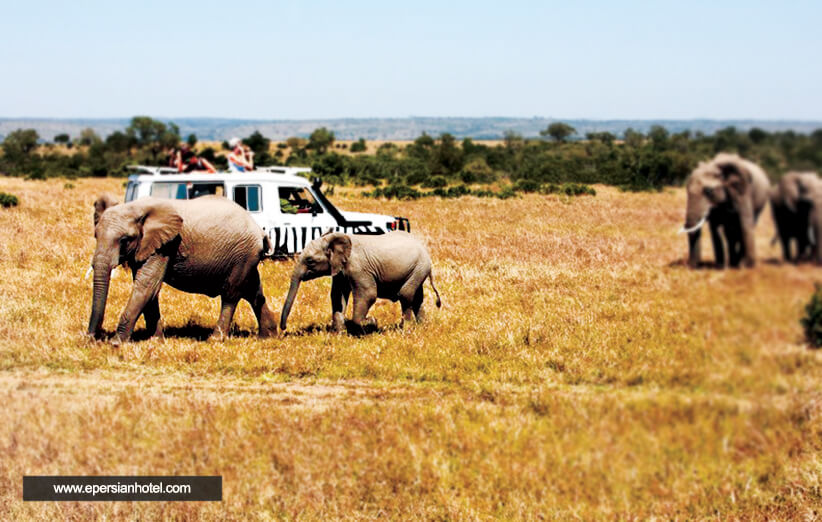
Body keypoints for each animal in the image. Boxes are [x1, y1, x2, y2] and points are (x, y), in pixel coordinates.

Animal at [89, 193, 278, 344]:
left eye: (124, 240)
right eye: (96, 235)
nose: (92, 339)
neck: (136, 207)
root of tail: (260, 231)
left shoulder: (166, 244)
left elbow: (146, 285)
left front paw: (116, 343)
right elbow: (149, 289)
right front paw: (156, 341)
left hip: (243, 254)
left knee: (231, 294)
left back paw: (215, 339)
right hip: (247, 257)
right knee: (254, 292)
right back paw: (267, 337)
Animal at [280, 231, 440, 334]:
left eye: (310, 261)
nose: (283, 329)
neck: (333, 238)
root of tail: (425, 250)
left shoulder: (359, 268)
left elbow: (368, 295)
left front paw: (371, 322)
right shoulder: (340, 270)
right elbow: (337, 296)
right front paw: (339, 334)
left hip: (419, 267)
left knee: (405, 294)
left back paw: (406, 330)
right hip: (418, 269)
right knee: (417, 298)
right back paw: (423, 328)